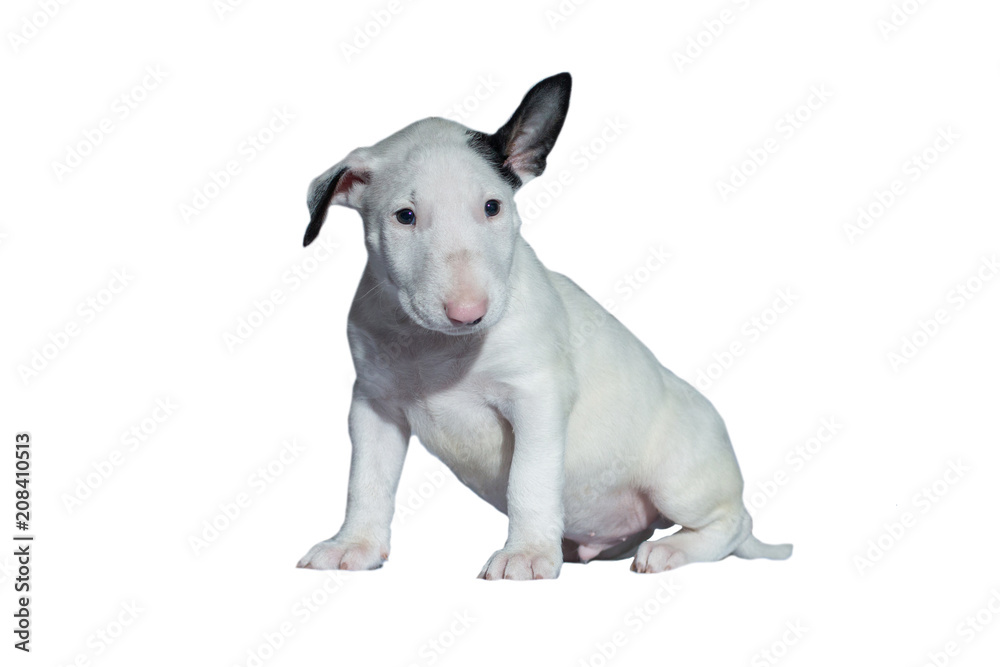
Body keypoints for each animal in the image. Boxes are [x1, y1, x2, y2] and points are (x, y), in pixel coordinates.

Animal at [296, 73, 788, 580]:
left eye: (492, 207)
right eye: (405, 216)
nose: (468, 313)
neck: (438, 348)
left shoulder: (536, 399)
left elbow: (528, 481)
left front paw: (527, 554)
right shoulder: (374, 407)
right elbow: (366, 482)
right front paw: (353, 544)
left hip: (680, 480)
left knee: (732, 525)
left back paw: (672, 550)